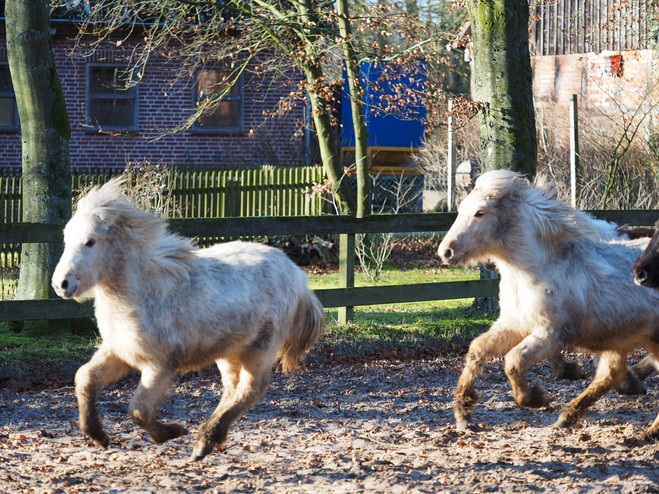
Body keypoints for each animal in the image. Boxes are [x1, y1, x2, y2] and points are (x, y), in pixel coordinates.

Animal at [52, 179, 326, 462]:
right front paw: (98, 436)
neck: (143, 293)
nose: (61, 284)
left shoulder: (160, 366)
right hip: (229, 351)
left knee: (251, 389)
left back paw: (204, 441)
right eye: (66, 238)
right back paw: (209, 439)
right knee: (233, 389)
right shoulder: (120, 353)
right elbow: (85, 378)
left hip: (261, 347)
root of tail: (297, 275)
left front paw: (171, 432)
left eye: (90, 242)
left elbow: (138, 410)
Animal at [438, 171, 659, 440]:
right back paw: (570, 417)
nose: (446, 252)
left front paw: (534, 398)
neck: (535, 269)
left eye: (480, 212)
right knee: (612, 373)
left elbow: (514, 360)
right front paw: (463, 413)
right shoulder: (514, 324)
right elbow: (478, 349)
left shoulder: (552, 332)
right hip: (621, 336)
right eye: (461, 209)